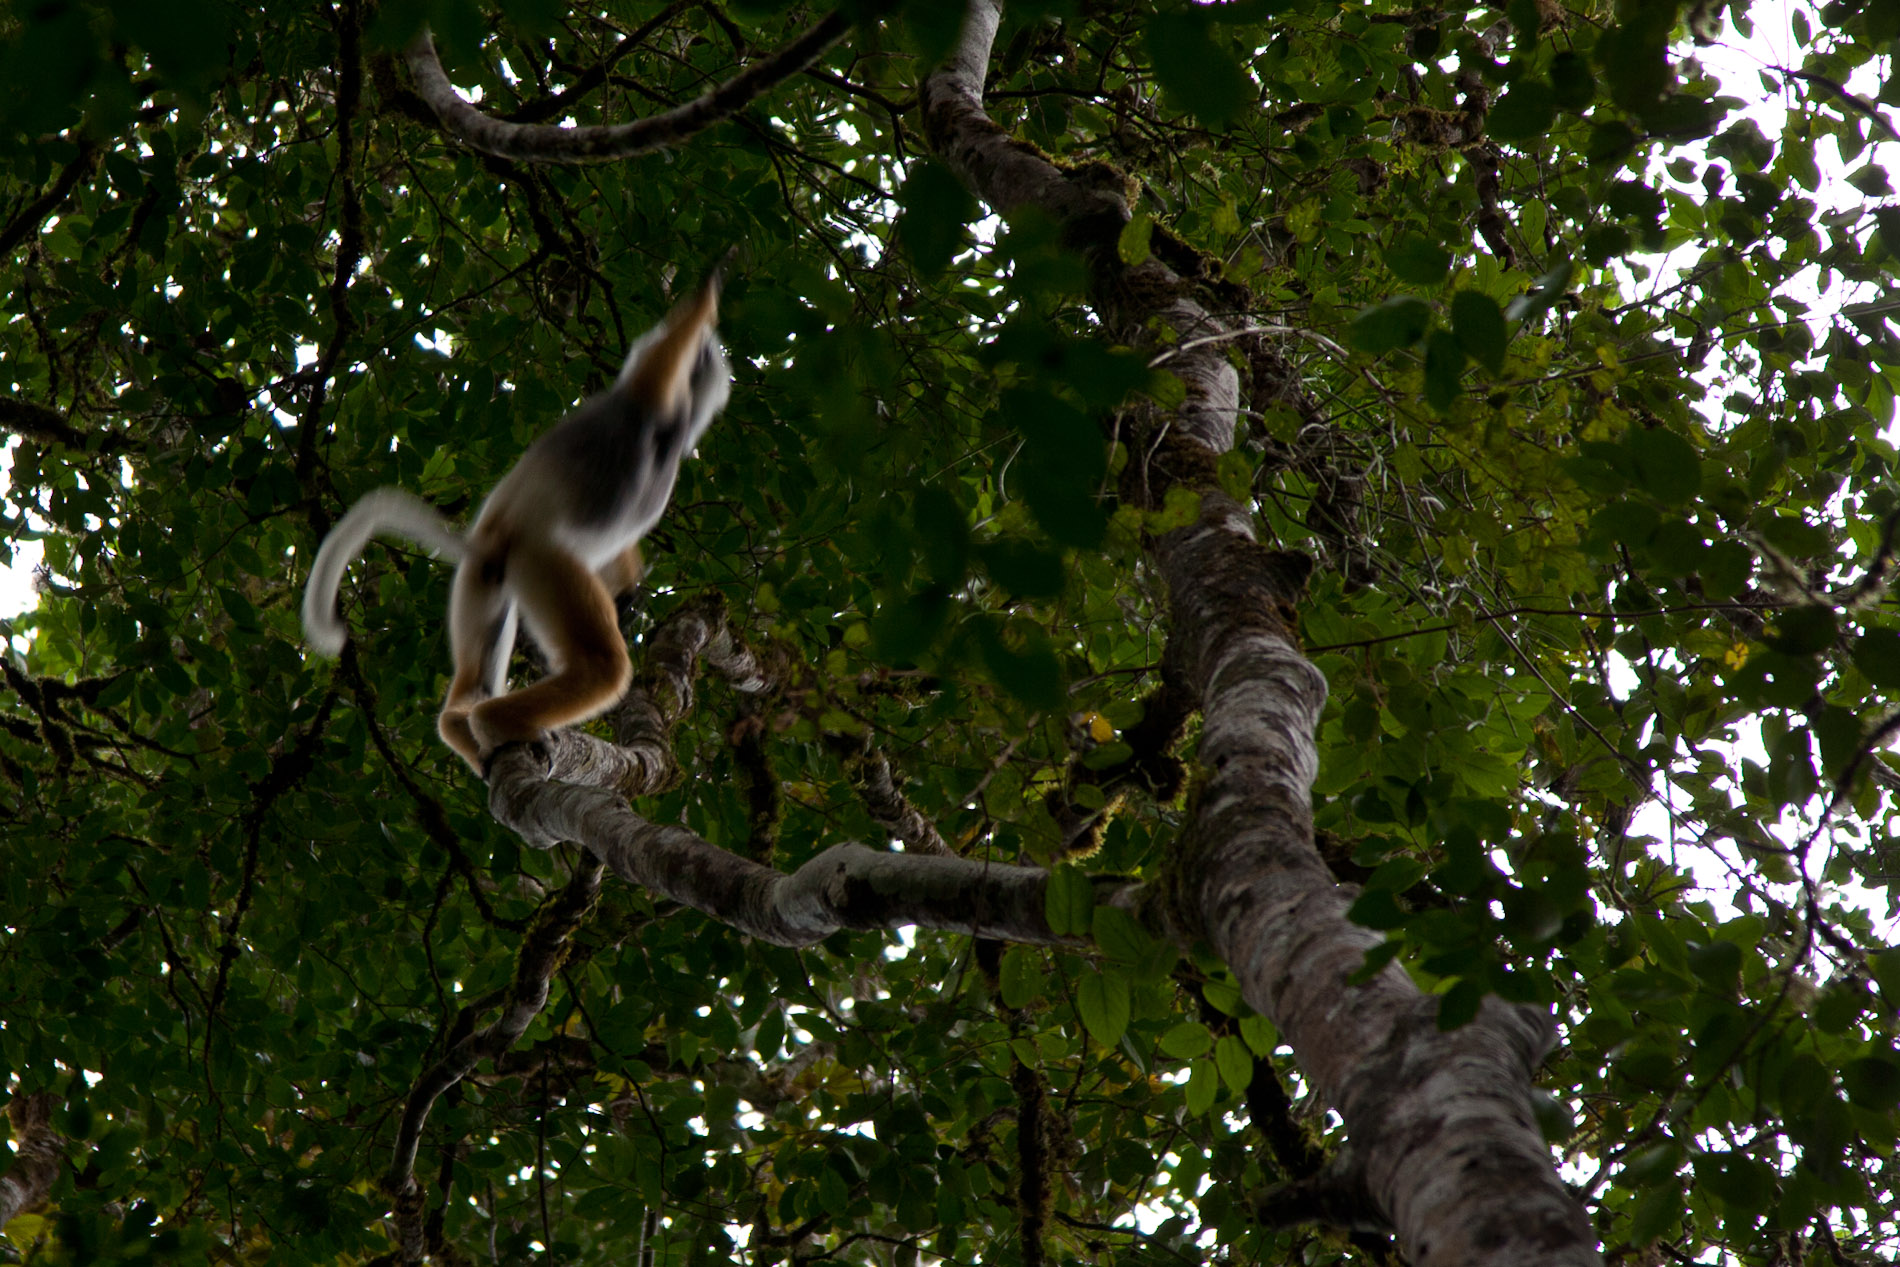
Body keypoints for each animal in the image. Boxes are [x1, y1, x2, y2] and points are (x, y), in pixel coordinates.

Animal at [300, 269, 729, 775]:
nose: (712, 367)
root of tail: (484, 540)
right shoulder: (649, 403)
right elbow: (663, 354)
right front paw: (710, 287)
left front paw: (629, 586)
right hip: (540, 561)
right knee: (599, 664)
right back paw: (495, 722)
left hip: (481, 585)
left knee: (477, 672)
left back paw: (462, 723)